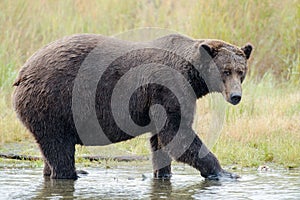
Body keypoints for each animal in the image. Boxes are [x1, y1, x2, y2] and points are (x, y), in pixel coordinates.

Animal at [13, 33, 253, 180]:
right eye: (225, 70)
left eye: (241, 71)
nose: (236, 96)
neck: (193, 76)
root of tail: (22, 73)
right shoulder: (169, 87)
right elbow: (177, 133)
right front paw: (224, 173)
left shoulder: (157, 99)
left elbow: (160, 140)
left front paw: (163, 174)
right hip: (53, 102)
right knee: (59, 148)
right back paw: (71, 173)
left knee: (49, 149)